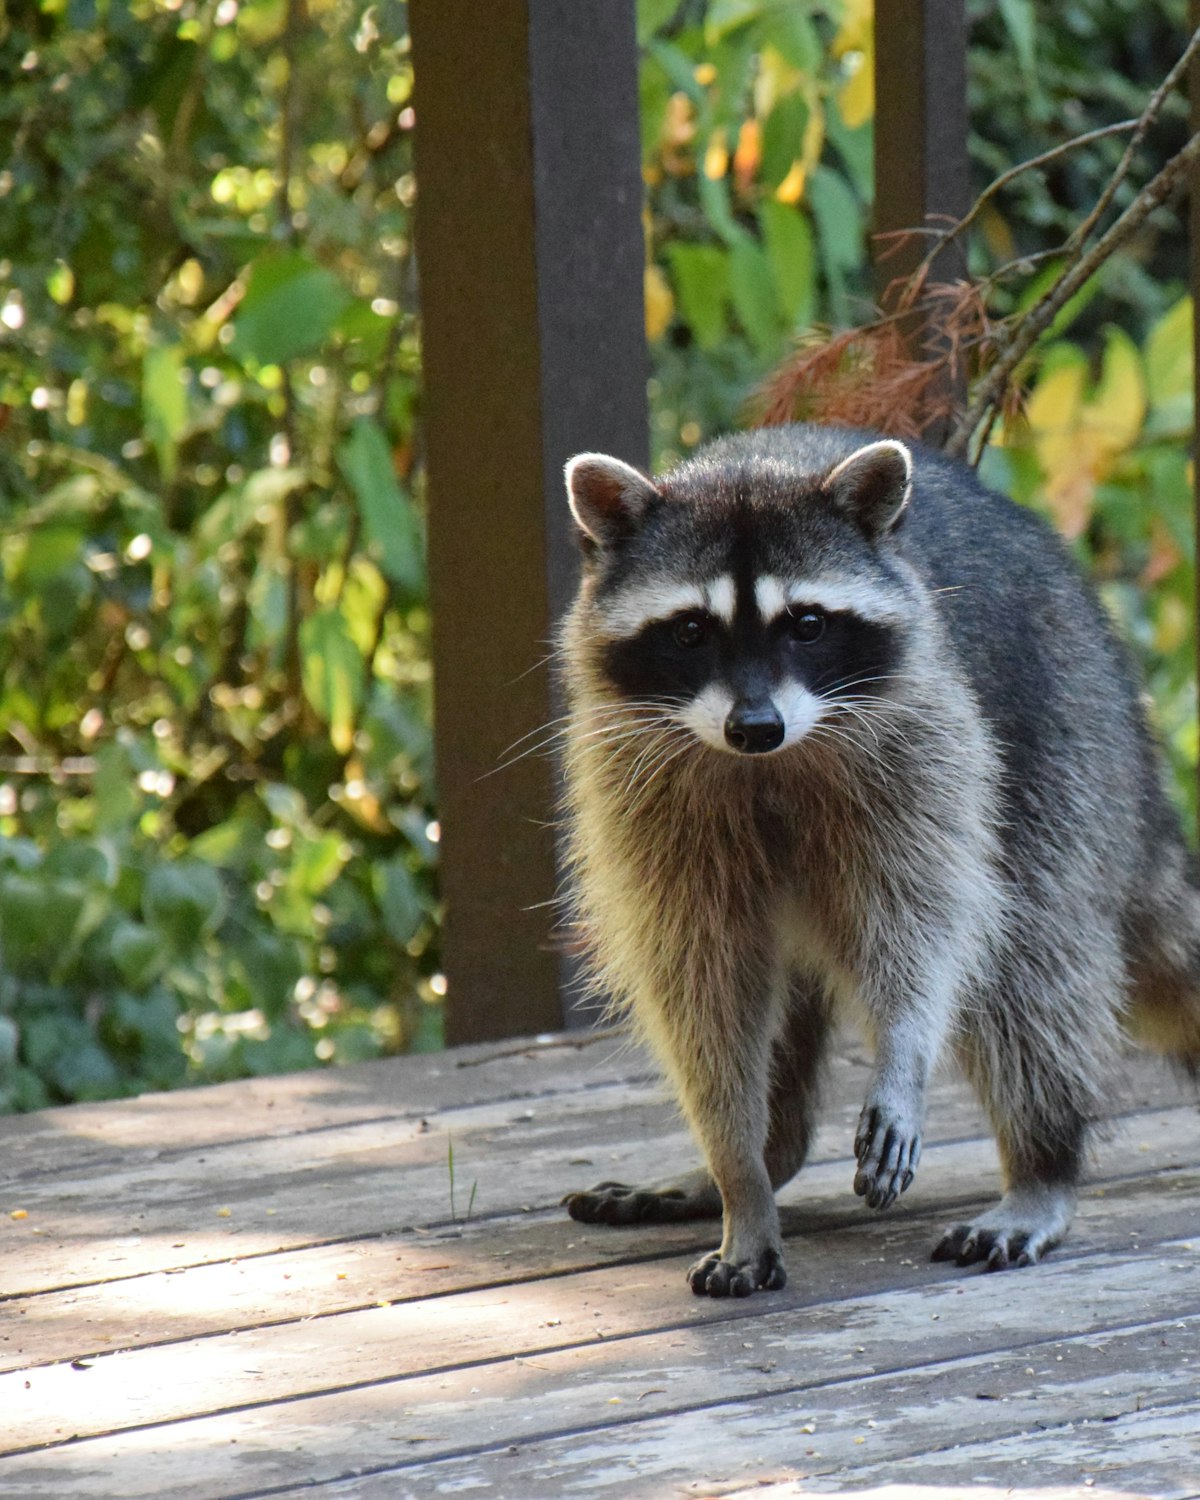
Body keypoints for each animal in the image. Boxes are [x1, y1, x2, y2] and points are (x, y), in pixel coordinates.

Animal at [557, 423, 1200, 1298]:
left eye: (807, 624)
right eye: (690, 632)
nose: (754, 727)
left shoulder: (924, 739)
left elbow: (924, 921)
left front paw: (903, 1048)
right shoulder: (642, 787)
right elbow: (700, 982)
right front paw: (737, 1172)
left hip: (1061, 737)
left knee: (1027, 962)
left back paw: (1043, 1163)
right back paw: (771, 1150)